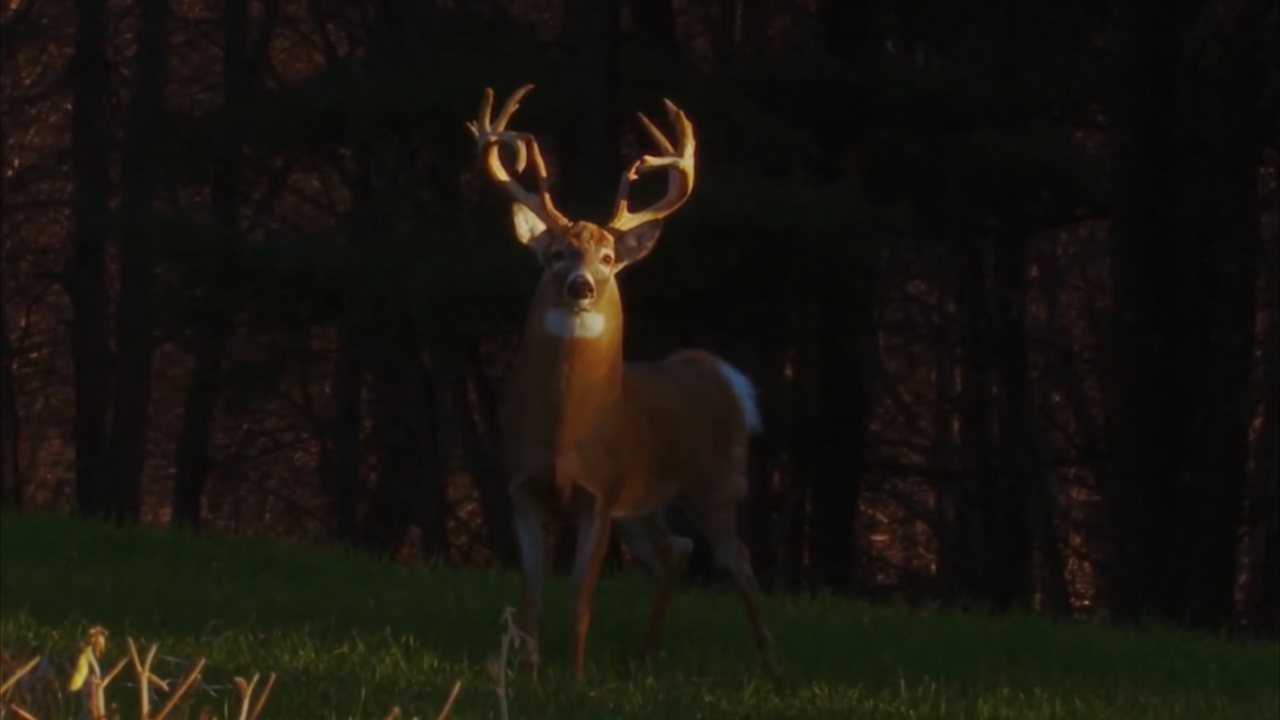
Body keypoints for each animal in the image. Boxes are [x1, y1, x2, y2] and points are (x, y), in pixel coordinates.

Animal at [466, 85, 779, 680]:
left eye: (609, 257)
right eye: (556, 254)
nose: (581, 285)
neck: (569, 428)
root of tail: (719, 371)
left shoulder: (600, 492)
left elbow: (580, 598)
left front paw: (574, 677)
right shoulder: (524, 486)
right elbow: (531, 595)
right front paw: (526, 671)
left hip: (717, 482)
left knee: (742, 562)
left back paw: (771, 668)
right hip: (645, 503)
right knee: (676, 550)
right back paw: (643, 658)